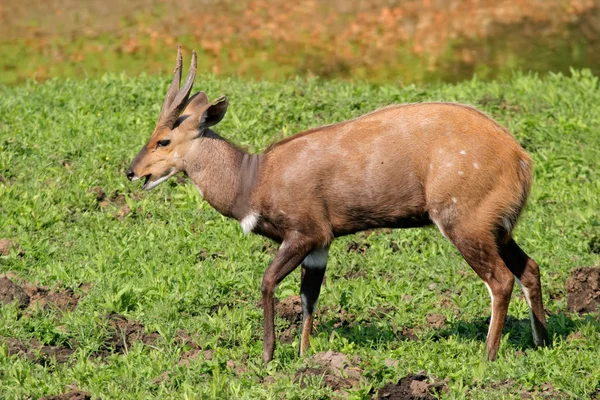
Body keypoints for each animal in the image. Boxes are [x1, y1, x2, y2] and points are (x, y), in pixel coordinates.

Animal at [126, 47, 548, 362]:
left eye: (163, 140)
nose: (131, 172)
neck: (252, 179)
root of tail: (521, 159)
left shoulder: (305, 232)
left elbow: (268, 282)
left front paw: (268, 354)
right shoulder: (322, 243)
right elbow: (308, 296)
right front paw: (304, 354)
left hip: (463, 221)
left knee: (500, 279)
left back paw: (488, 355)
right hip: (496, 226)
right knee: (529, 268)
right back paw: (541, 341)